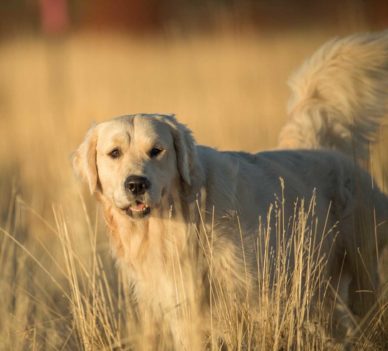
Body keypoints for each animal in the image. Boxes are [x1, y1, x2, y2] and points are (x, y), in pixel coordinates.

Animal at [73, 32, 388, 350]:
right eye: (114, 153)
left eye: (156, 151)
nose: (136, 184)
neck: (182, 219)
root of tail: (324, 150)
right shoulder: (179, 307)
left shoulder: (258, 291)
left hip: (360, 270)